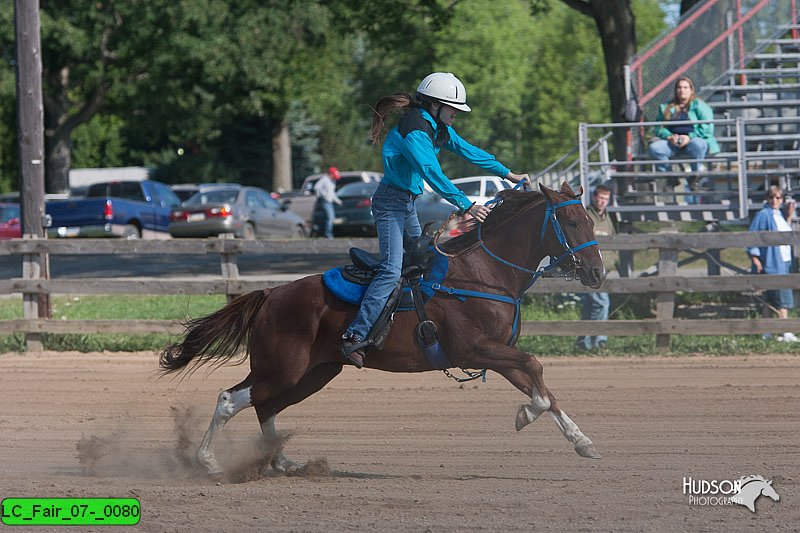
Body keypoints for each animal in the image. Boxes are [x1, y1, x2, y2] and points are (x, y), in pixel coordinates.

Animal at [159, 182, 604, 474]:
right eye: (570, 221)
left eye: (589, 219)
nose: (598, 273)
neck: (483, 273)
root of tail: (271, 294)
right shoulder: (474, 347)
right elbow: (535, 369)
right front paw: (527, 416)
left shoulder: (496, 353)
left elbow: (540, 384)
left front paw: (581, 441)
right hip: (281, 368)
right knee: (231, 399)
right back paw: (208, 461)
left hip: (313, 373)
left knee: (264, 406)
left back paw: (282, 461)